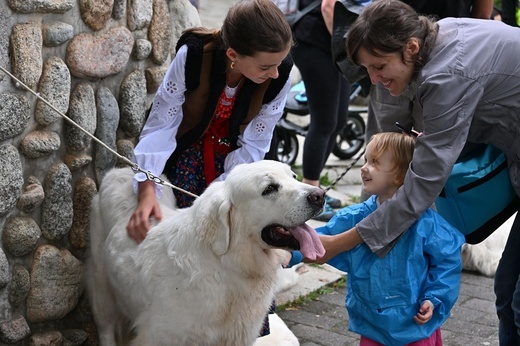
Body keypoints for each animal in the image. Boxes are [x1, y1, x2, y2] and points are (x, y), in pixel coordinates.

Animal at [88, 161, 324, 344]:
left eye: (294, 176)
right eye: (269, 188)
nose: (320, 195)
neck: (227, 267)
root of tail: (122, 170)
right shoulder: (159, 337)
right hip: (102, 292)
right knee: (106, 329)